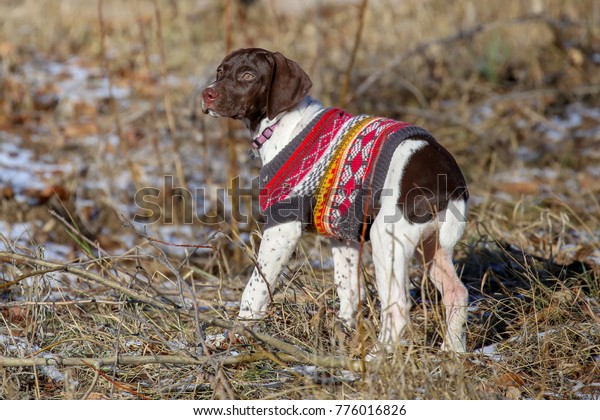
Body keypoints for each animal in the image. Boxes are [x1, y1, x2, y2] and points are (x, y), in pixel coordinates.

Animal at [202, 47, 468, 352]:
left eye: (247, 75)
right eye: (220, 71)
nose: (206, 94)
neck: (281, 124)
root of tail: (450, 183)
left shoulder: (283, 227)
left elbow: (254, 289)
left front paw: (232, 337)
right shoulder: (343, 234)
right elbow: (347, 288)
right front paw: (342, 331)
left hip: (387, 240)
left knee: (398, 309)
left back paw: (376, 357)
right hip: (431, 247)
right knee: (457, 292)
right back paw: (453, 351)